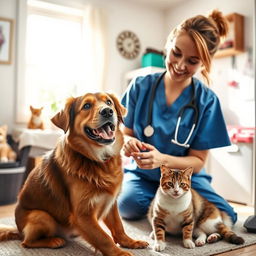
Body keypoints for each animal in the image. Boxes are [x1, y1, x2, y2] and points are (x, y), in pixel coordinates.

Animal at [0, 93, 148, 255]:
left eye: (109, 102)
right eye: (87, 106)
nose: (107, 111)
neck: (98, 160)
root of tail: (18, 230)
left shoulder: (111, 203)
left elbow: (118, 226)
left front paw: (130, 242)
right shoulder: (82, 215)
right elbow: (103, 238)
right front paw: (119, 253)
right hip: (41, 216)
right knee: (26, 242)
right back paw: (53, 241)